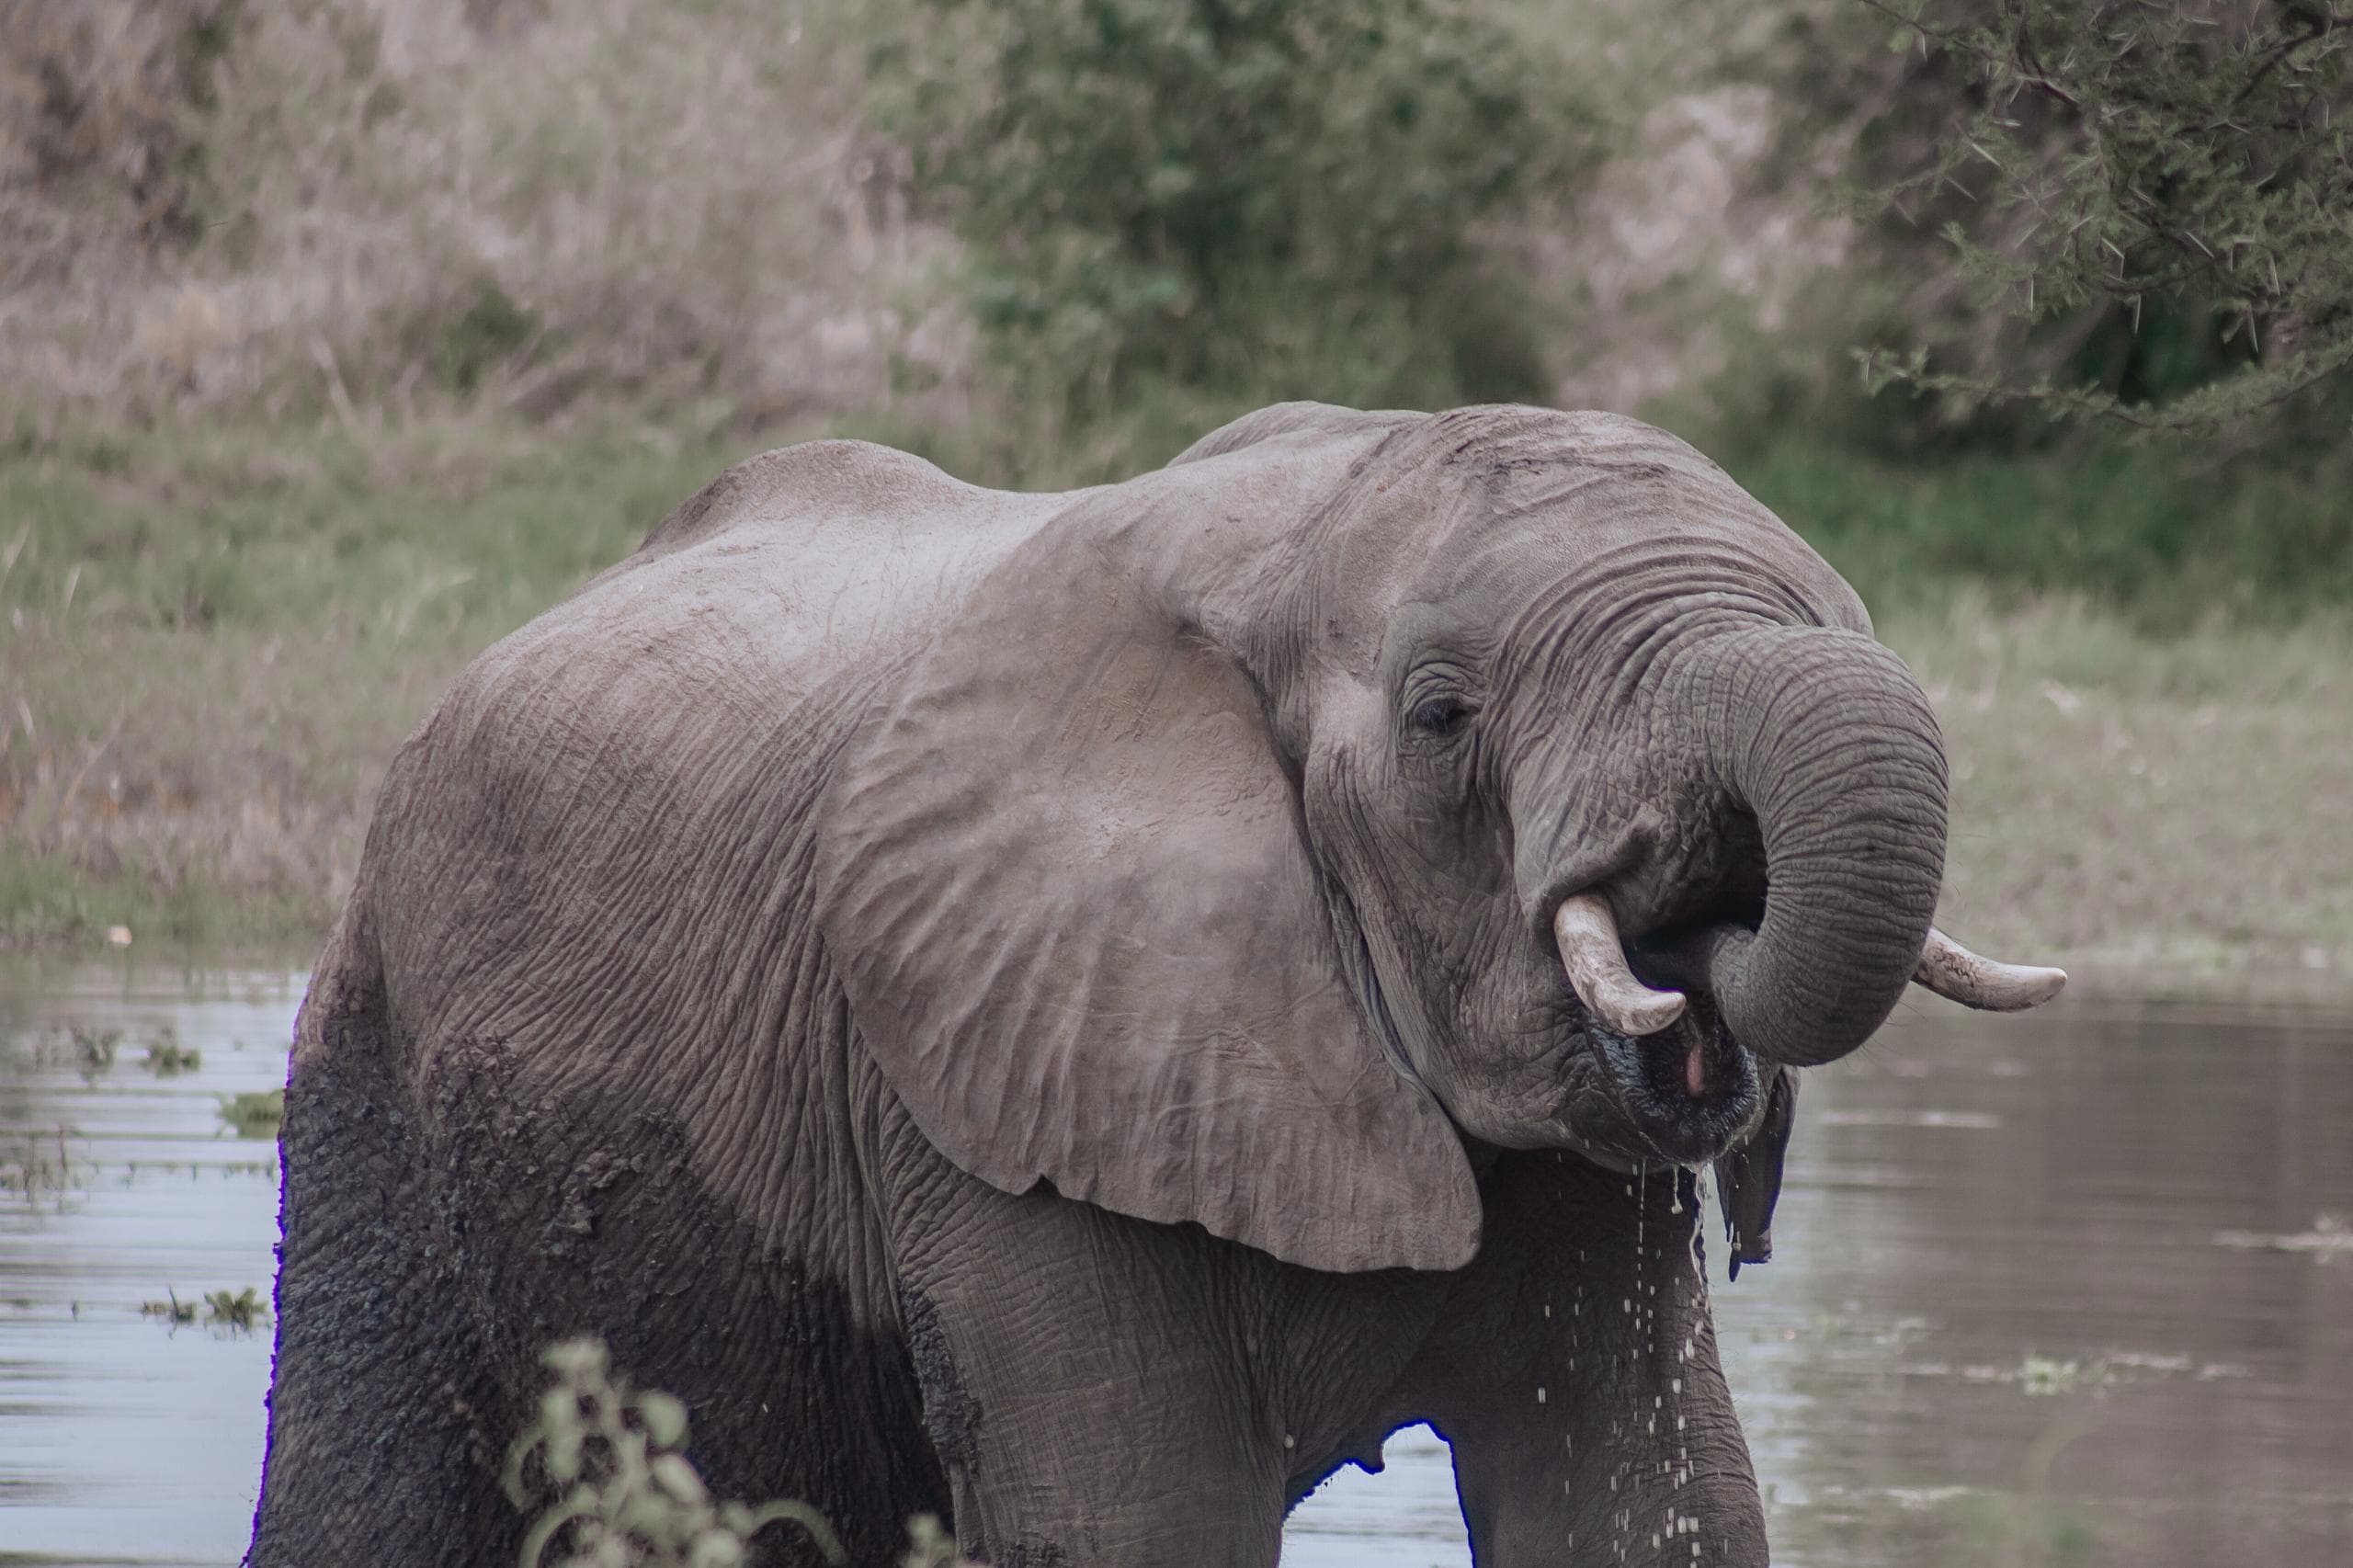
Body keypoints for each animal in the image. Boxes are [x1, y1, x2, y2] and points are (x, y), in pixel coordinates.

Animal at [247, 402, 2064, 1568]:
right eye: (1442, 714)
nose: (1704, 924)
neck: (1305, 541)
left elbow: (1641, 1494)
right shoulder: (983, 1082)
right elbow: (1141, 1519)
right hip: (373, 1054)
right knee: (370, 1496)